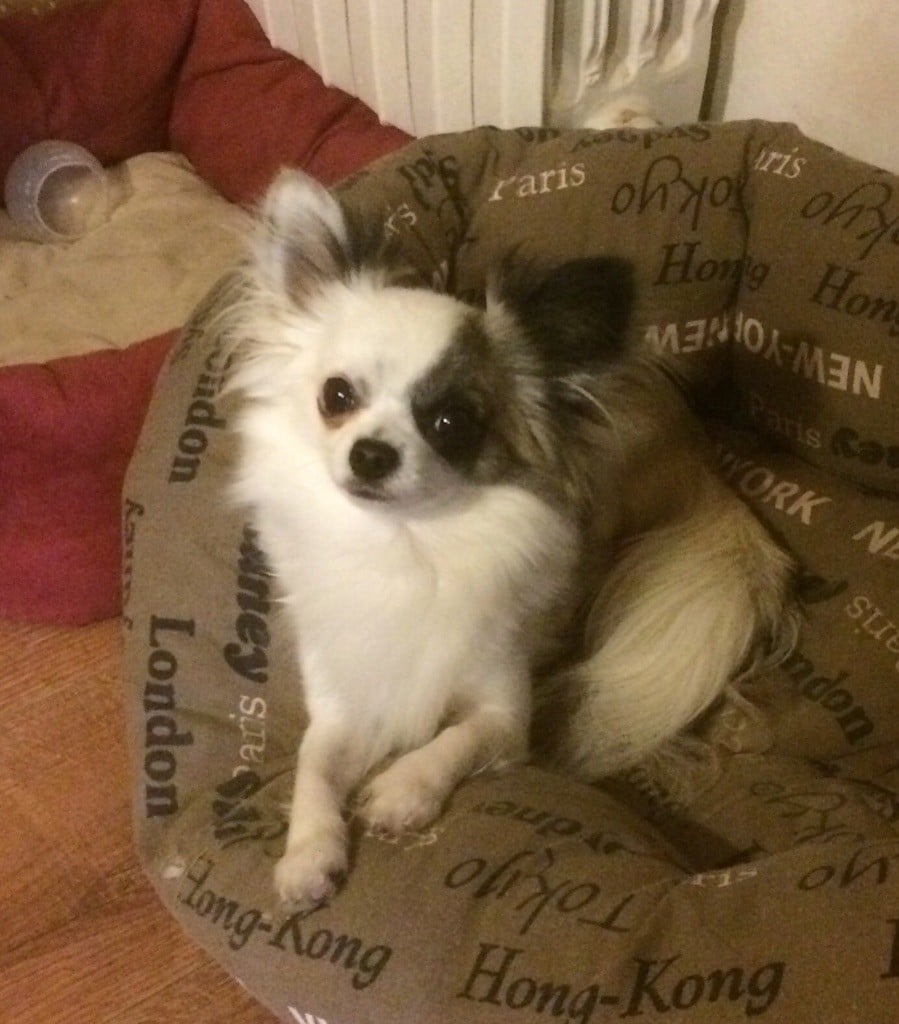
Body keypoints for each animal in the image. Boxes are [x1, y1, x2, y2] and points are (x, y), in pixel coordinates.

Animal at [225, 169, 794, 906]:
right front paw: (307, 853)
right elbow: (311, 764)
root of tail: (704, 462)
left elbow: (458, 740)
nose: (371, 454)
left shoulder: (503, 712)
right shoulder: (343, 703)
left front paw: (404, 789)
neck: (403, 540)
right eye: (337, 396)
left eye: (451, 423)